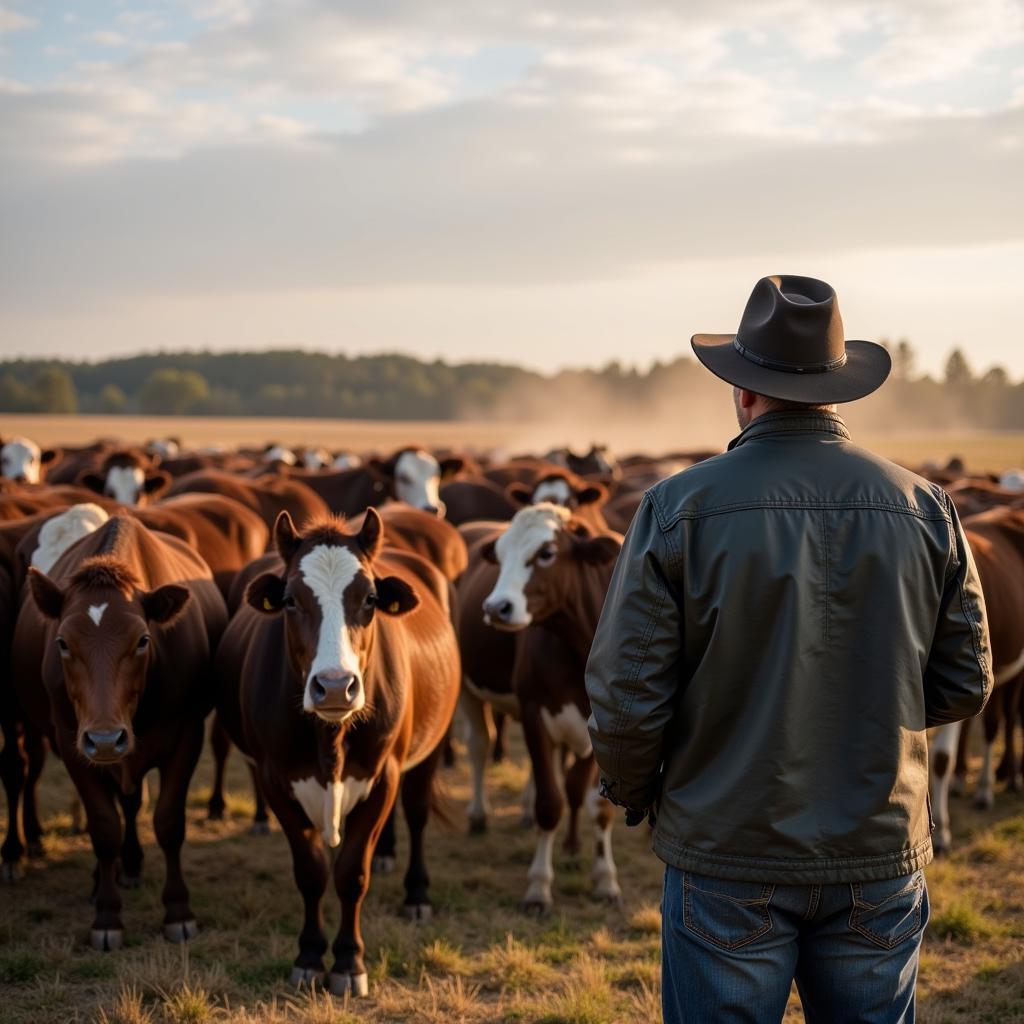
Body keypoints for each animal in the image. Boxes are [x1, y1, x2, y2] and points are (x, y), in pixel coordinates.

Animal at [13, 512, 228, 942]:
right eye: (62, 643)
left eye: (143, 639)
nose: (105, 738)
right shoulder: (73, 742)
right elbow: (104, 826)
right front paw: (107, 916)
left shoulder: (187, 736)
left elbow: (168, 822)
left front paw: (178, 910)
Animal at [216, 512, 460, 999]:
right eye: (290, 600)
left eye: (369, 599)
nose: (333, 686)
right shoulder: (276, 779)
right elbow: (311, 872)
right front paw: (310, 957)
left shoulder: (384, 775)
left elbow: (352, 873)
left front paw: (349, 963)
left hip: (430, 747)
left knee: (417, 812)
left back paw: (416, 894)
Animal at [477, 503, 622, 913]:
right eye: (500, 554)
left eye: (546, 553)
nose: (496, 607)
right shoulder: (533, 714)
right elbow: (549, 802)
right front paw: (539, 886)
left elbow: (592, 802)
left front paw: (604, 878)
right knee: (479, 746)